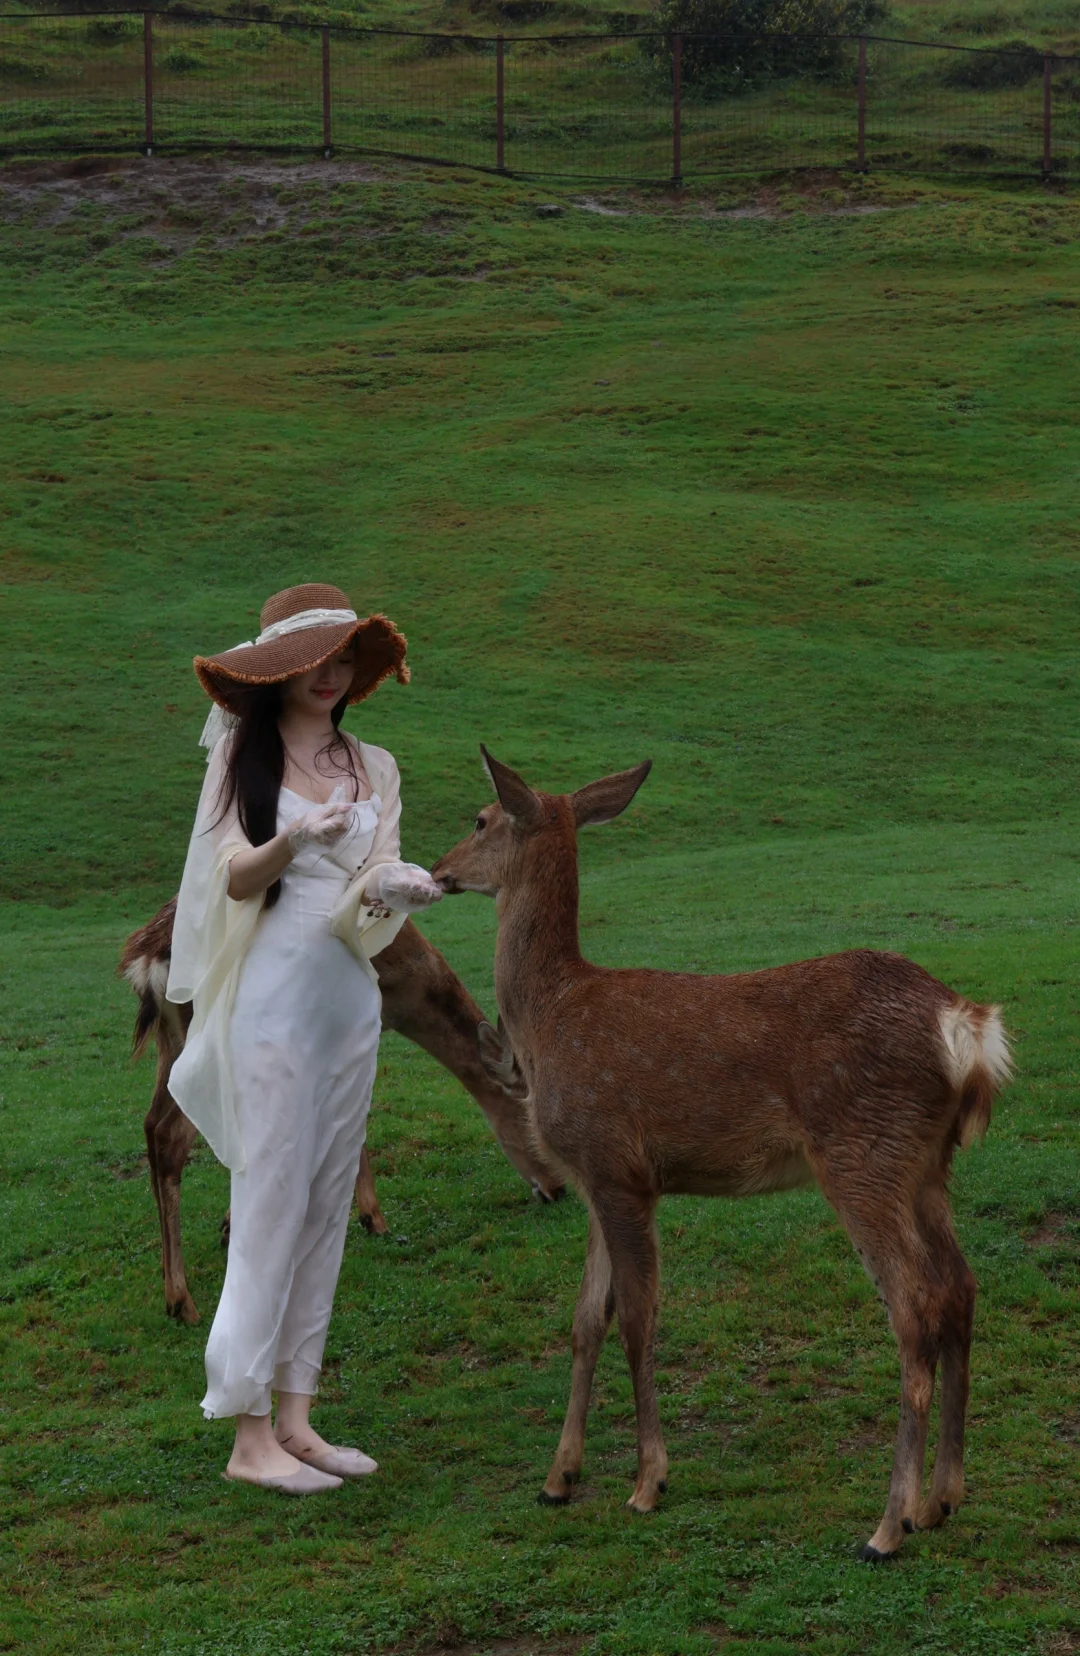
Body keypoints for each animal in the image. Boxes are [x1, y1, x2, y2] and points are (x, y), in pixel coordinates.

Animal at [123, 900, 559, 1324]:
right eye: (535, 1126)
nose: (558, 1190)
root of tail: (146, 964)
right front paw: (373, 1218)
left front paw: (232, 1226)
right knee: (170, 1137)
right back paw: (182, 1302)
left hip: (171, 1045)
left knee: (150, 1124)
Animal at [433, 758, 1013, 1556]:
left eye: (481, 818)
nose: (438, 871)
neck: (549, 1020)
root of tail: (966, 1025)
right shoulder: (592, 1177)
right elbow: (584, 1319)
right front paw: (558, 1479)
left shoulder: (616, 1164)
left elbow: (636, 1317)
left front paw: (647, 1483)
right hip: (927, 1164)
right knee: (961, 1286)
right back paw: (942, 1500)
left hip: (863, 1154)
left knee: (915, 1303)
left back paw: (887, 1525)